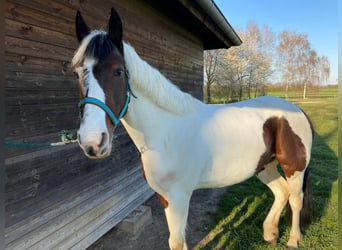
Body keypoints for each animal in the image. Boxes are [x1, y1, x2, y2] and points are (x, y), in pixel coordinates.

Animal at [71, 8, 312, 250]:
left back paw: (293, 240)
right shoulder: (165, 198)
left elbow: (177, 241)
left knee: (295, 199)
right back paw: (270, 233)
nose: (93, 141)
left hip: (294, 168)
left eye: (118, 71)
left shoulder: (180, 197)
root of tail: (297, 109)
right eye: (76, 73)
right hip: (264, 166)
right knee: (281, 192)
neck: (165, 135)